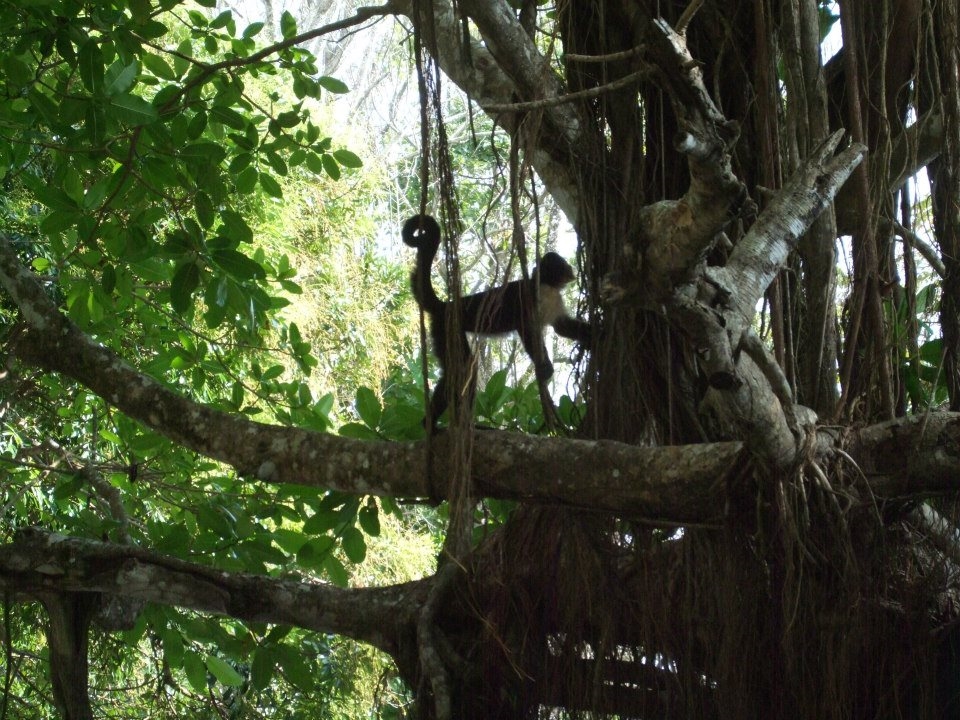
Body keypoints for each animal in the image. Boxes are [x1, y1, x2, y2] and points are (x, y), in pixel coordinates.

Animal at [402, 214, 592, 425]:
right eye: (563, 263)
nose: (571, 268)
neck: (547, 284)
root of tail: (446, 305)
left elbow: (562, 327)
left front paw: (595, 334)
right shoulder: (535, 294)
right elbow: (525, 326)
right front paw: (545, 367)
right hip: (447, 327)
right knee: (464, 369)